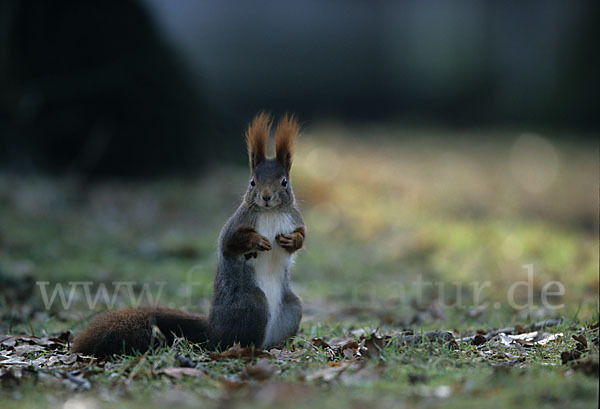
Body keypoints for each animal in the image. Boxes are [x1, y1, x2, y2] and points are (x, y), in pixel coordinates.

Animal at [73, 113, 308, 356]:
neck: (270, 213)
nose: (267, 196)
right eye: (252, 182)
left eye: (284, 182)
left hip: (293, 307)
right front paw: (257, 240)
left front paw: (291, 240)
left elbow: (302, 236)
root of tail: (211, 328)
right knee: (230, 340)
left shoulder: (295, 220)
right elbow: (229, 242)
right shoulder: (237, 223)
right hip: (253, 305)